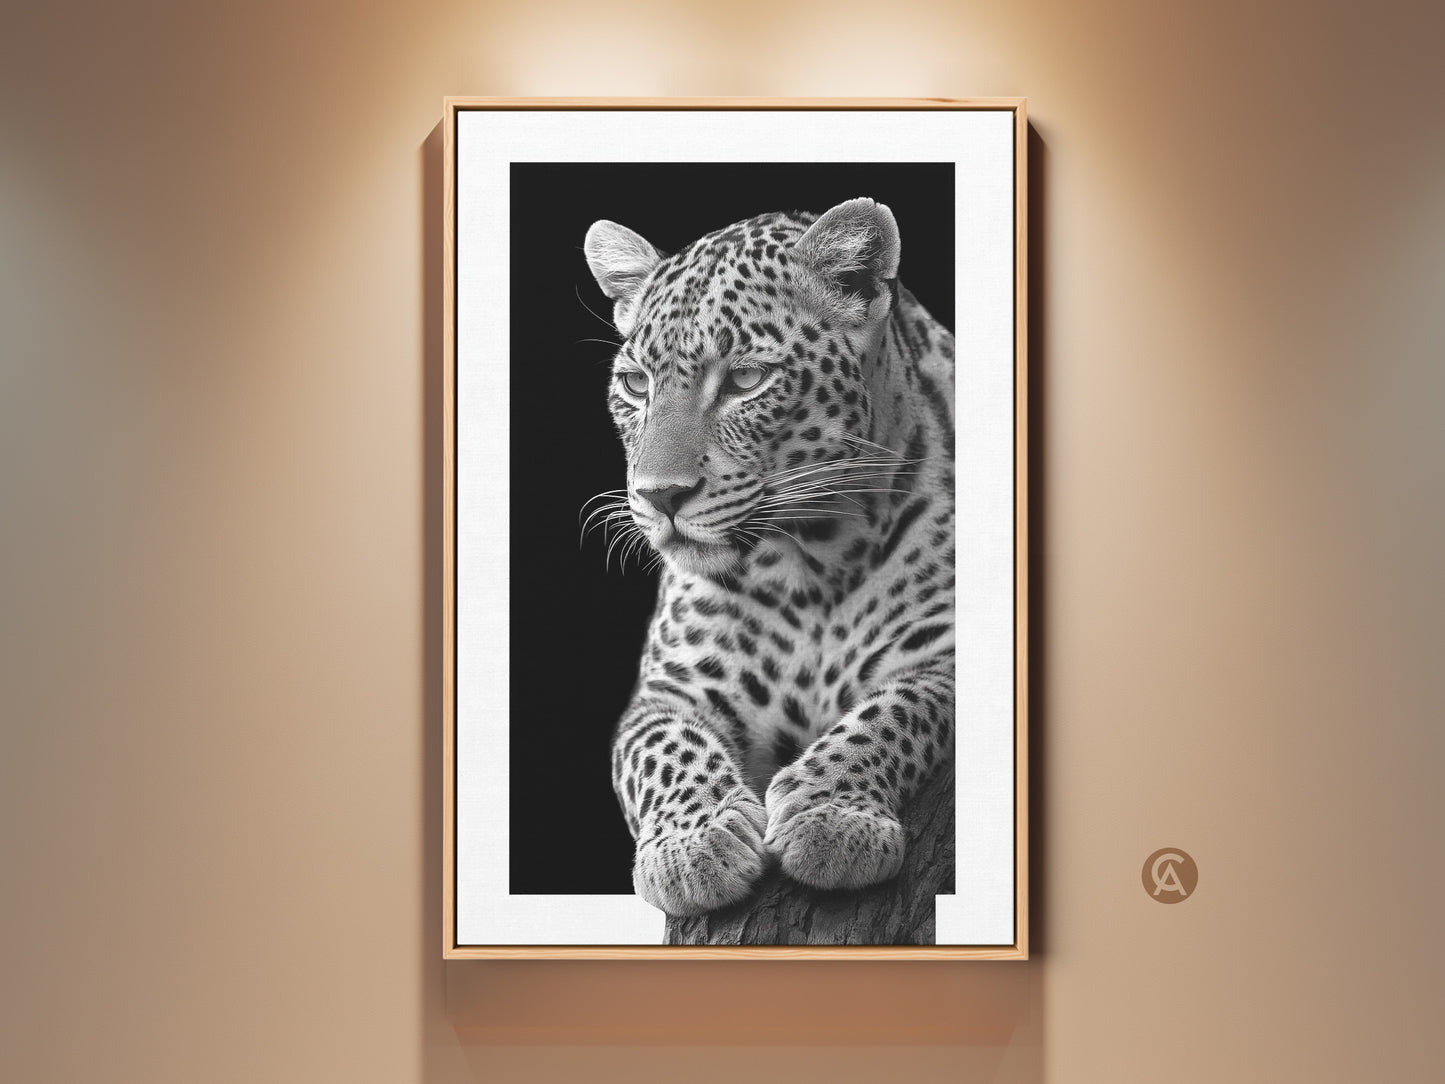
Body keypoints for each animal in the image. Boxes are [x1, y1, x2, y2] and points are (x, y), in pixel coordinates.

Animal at [582, 197, 956, 918]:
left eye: (746, 380)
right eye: (636, 384)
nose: (659, 496)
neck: (814, 559)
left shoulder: (943, 659)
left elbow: (894, 713)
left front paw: (830, 815)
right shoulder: (666, 693)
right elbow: (662, 747)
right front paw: (693, 845)